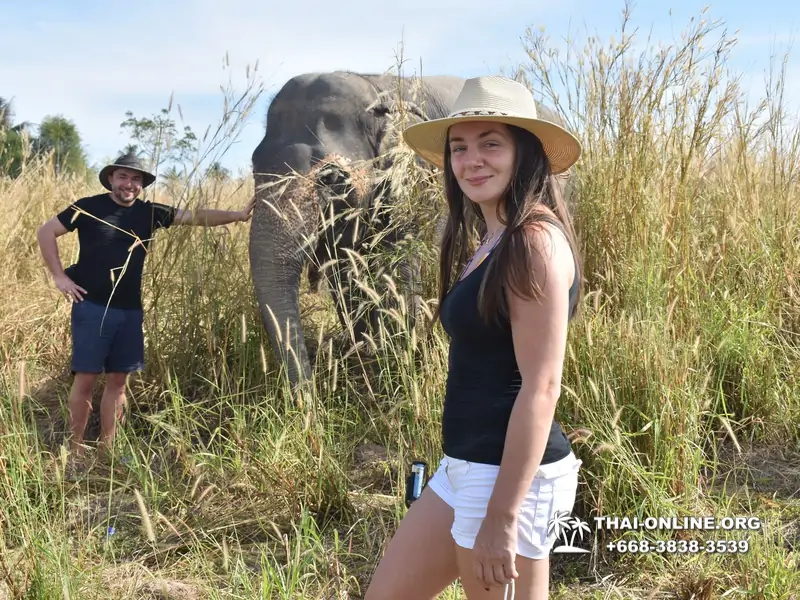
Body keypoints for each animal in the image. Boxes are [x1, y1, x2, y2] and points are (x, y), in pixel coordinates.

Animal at [247, 70, 572, 386]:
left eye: (331, 178)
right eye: (253, 166)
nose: (308, 395)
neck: (372, 85)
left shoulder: (418, 184)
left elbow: (400, 275)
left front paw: (398, 360)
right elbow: (347, 280)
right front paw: (371, 357)